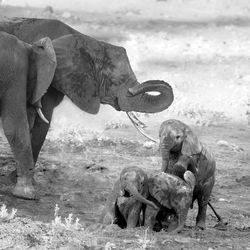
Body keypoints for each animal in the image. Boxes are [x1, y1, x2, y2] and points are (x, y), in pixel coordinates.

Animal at [0, 18, 173, 199]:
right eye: (117, 81)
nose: (133, 90)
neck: (88, 41)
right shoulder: (48, 80)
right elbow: (39, 123)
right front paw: (19, 180)